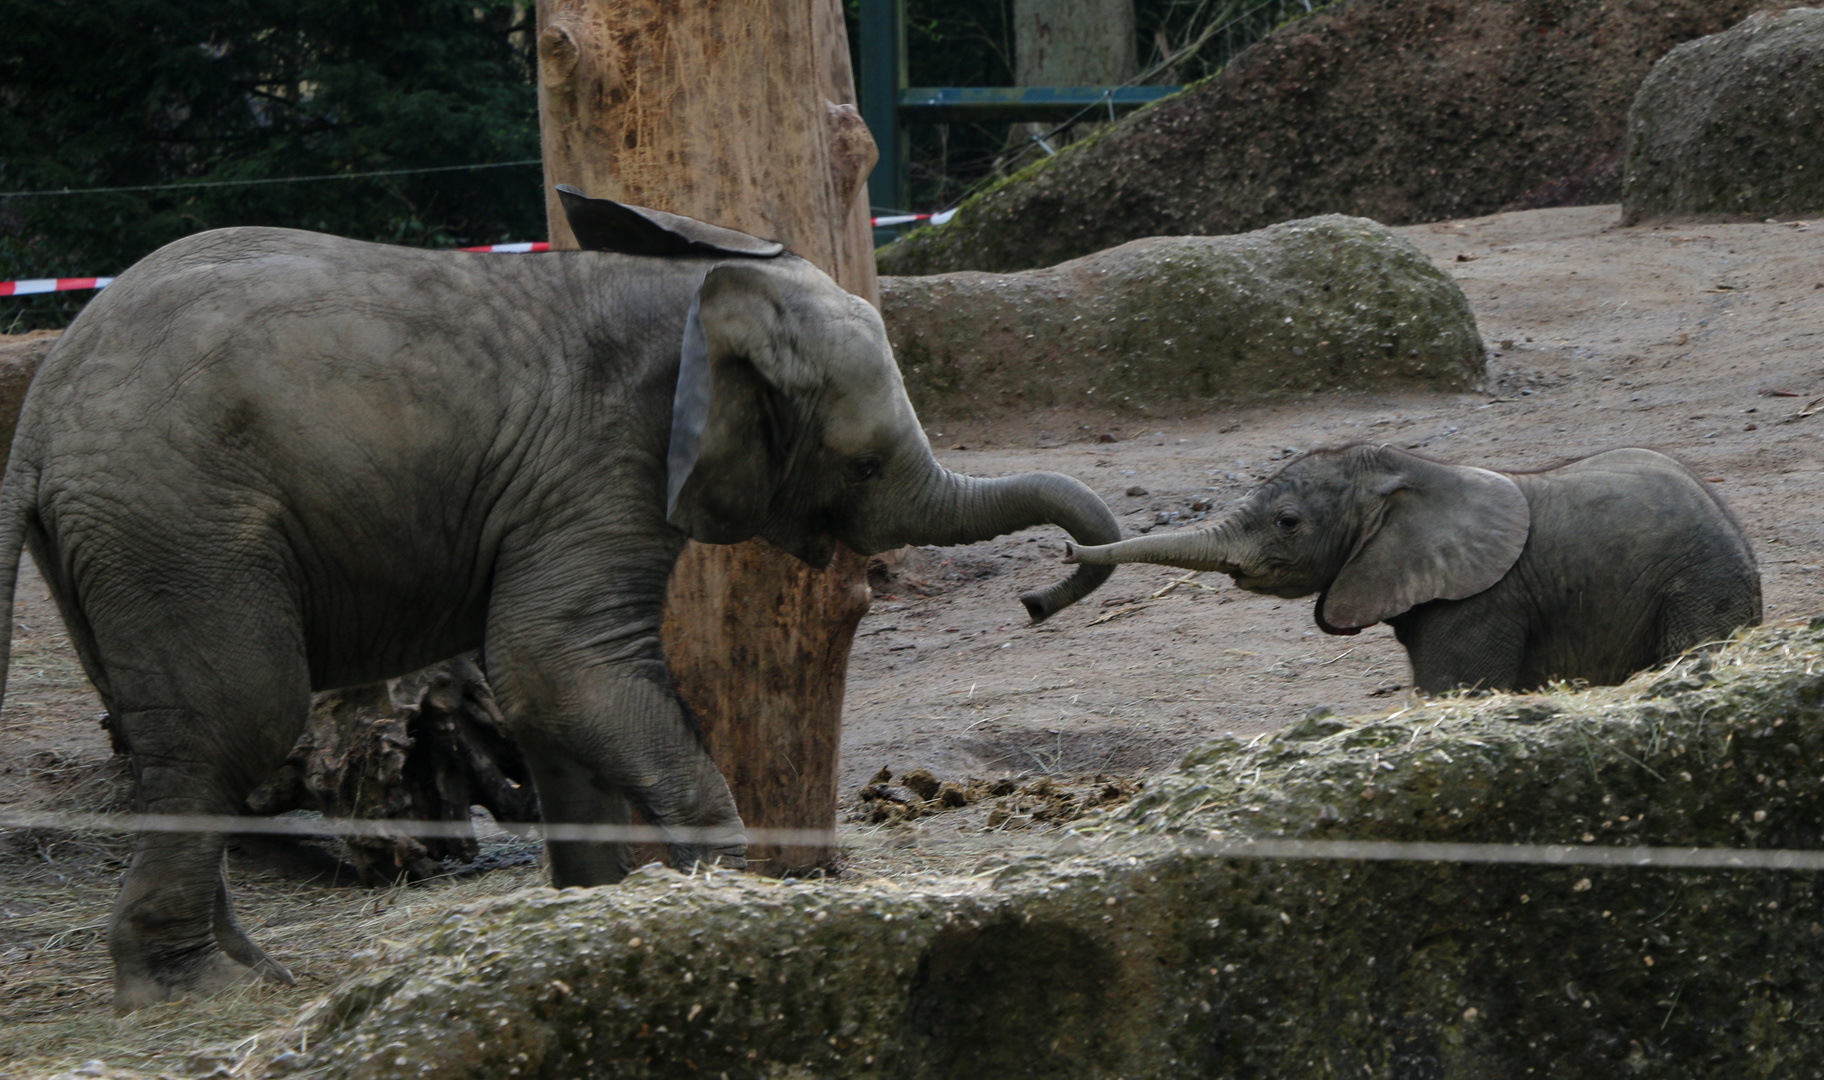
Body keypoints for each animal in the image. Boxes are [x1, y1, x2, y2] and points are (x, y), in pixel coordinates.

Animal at [0, 189, 1116, 1007]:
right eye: (867, 462)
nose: (1042, 597)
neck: (697, 294)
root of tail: (41, 410)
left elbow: (545, 694)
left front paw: (592, 915)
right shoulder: (602, 459)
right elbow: (557, 664)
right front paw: (727, 897)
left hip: (122, 539)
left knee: (171, 737)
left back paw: (245, 971)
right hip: (178, 519)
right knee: (240, 720)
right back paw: (189, 994)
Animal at [1065, 445, 1758, 693]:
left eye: (1287, 523)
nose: (1067, 553)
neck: (1409, 472)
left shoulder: (1481, 600)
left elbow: (1454, 690)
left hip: (1698, 585)